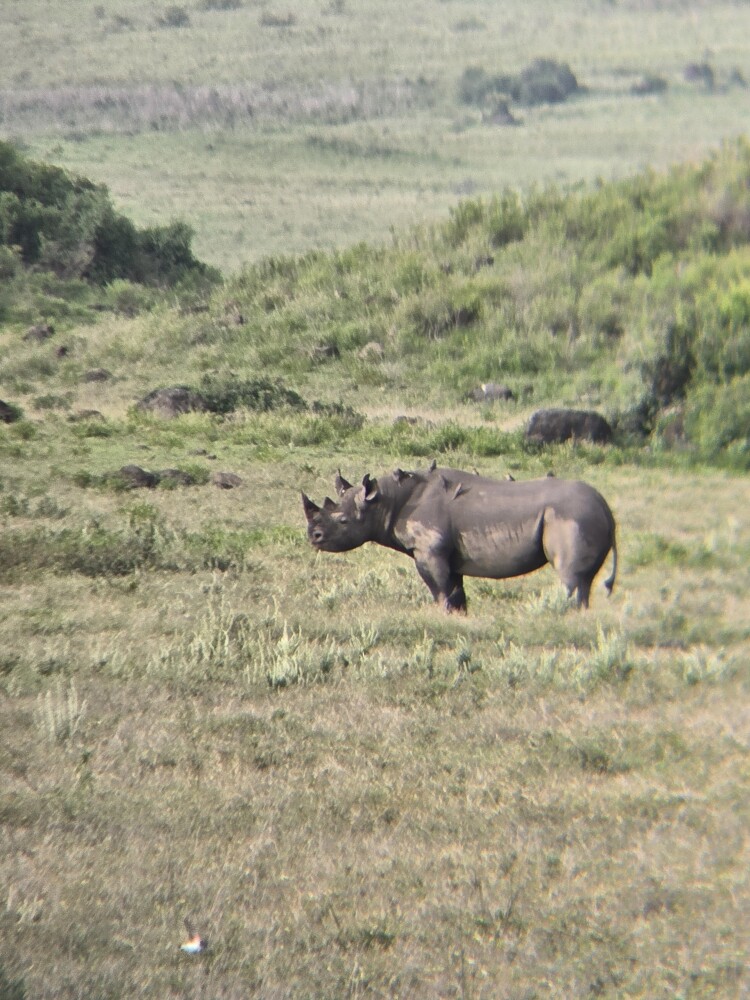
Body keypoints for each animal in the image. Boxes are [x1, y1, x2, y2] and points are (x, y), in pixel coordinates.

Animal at [302, 465, 617, 613]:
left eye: (343, 522)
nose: (313, 537)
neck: (384, 501)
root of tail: (606, 508)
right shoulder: (447, 554)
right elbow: (455, 591)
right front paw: (459, 618)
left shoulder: (429, 550)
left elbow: (439, 590)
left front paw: (440, 616)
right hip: (582, 515)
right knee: (584, 582)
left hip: (572, 517)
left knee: (569, 576)